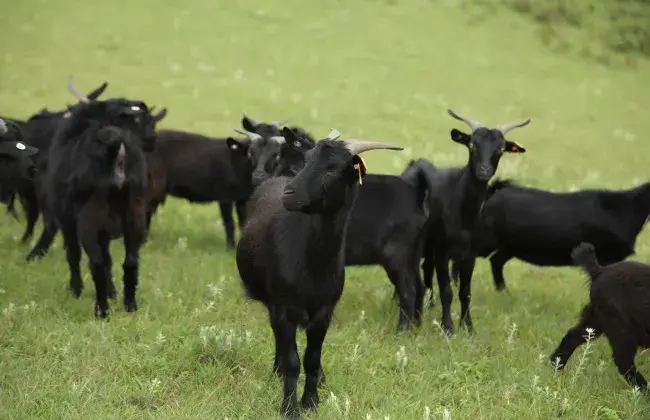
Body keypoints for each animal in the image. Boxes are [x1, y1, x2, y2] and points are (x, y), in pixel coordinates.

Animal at [235, 126, 402, 418]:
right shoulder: (284, 309)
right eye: (306, 160)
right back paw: (277, 369)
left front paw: (312, 401)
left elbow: (312, 359)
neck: (313, 263)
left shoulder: (324, 313)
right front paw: (290, 407)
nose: (289, 194)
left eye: (332, 168)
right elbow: (293, 360)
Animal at [416, 109, 528, 334]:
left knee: (427, 269)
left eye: (500, 149)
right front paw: (447, 328)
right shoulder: (442, 251)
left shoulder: (470, 255)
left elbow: (465, 292)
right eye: (472, 145)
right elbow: (447, 291)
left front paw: (468, 327)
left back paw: (429, 305)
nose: (484, 171)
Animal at [468, 178, 648, 292]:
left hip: (511, 247)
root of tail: (493, 193)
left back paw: (504, 292)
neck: (622, 211)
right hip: (485, 241)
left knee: (496, 261)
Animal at [548, 243, 648, 390]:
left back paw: (555, 368)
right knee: (623, 360)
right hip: (619, 326)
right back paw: (643, 389)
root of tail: (599, 271)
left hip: (595, 319)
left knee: (572, 336)